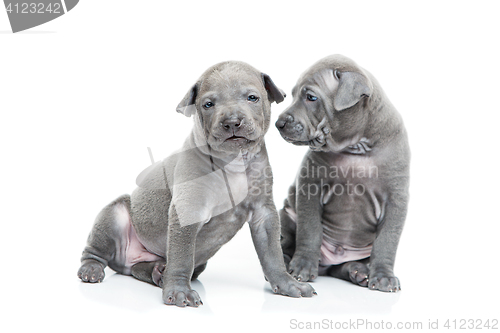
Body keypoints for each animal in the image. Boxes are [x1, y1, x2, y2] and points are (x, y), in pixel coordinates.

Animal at [76, 60, 314, 306]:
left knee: (140, 269)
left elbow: (272, 253)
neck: (233, 161)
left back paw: (156, 272)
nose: (232, 122)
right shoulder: (188, 210)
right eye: (208, 104)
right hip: (114, 216)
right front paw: (180, 291)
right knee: (96, 251)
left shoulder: (263, 214)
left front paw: (287, 283)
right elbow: (181, 258)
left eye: (252, 98)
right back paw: (92, 269)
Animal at [276, 54, 408, 290]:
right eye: (292, 95)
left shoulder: (396, 200)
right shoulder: (310, 187)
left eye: (311, 97)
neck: (356, 147)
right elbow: (310, 230)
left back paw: (358, 271)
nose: (278, 123)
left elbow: (387, 241)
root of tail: (328, 264)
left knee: (343, 267)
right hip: (287, 216)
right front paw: (302, 266)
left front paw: (383, 276)